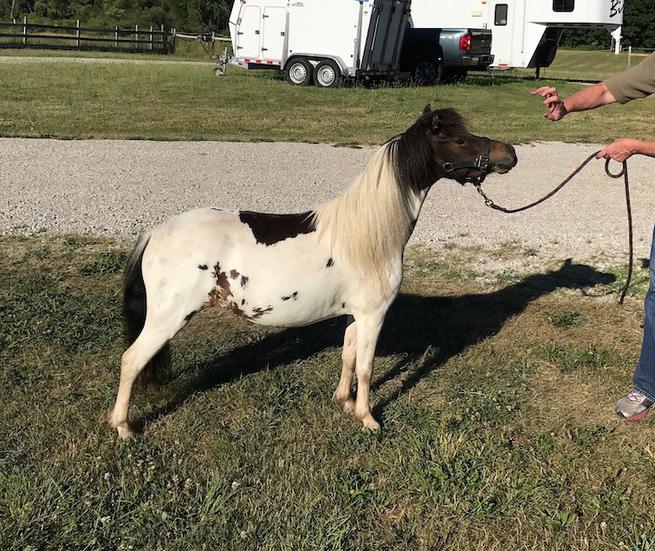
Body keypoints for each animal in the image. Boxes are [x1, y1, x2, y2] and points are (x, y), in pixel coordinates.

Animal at [109, 105, 518, 439]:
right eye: (459, 139)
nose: (510, 153)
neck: (370, 232)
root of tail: (156, 231)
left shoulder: (356, 315)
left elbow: (349, 357)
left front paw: (344, 402)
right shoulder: (374, 316)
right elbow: (366, 367)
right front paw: (368, 418)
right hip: (167, 318)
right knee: (131, 360)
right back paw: (124, 427)